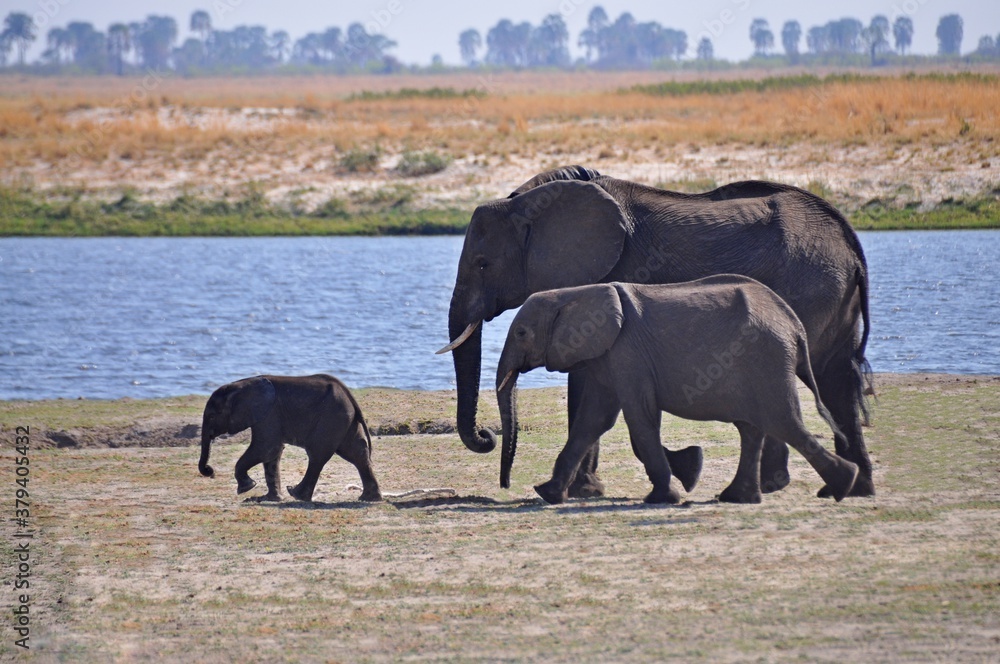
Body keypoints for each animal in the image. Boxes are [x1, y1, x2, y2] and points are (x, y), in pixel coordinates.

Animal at [198, 374, 382, 502]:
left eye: (212, 416)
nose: (209, 470)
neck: (239, 386)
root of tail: (348, 394)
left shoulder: (268, 414)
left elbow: (266, 448)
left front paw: (246, 488)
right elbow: (272, 454)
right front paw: (267, 499)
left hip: (331, 418)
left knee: (317, 455)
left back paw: (295, 494)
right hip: (344, 419)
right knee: (357, 454)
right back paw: (369, 498)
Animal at [495, 277, 860, 505]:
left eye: (522, 333)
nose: (505, 485)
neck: (574, 292)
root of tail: (794, 324)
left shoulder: (628, 352)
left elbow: (639, 419)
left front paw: (663, 498)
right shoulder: (607, 356)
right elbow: (593, 421)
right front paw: (547, 494)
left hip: (767, 360)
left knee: (784, 422)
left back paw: (844, 485)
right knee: (753, 428)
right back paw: (739, 498)